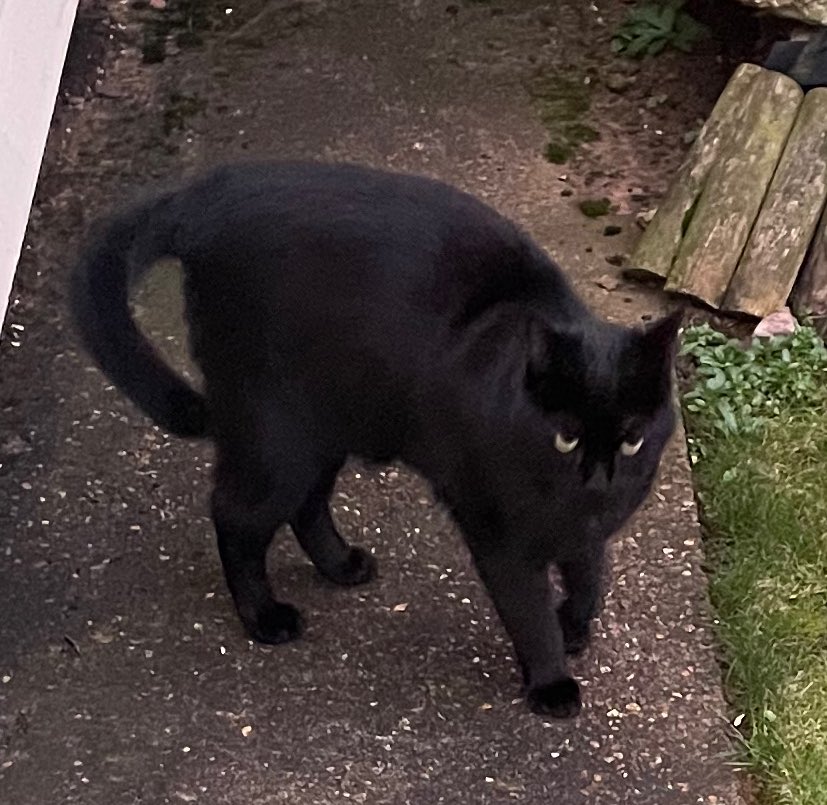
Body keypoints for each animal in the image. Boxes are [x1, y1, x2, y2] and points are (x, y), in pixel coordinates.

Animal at [71, 163, 680, 716]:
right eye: (565, 438)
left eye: (631, 441)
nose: (598, 481)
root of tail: (206, 193)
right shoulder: (497, 534)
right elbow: (528, 612)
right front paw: (551, 680)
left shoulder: (587, 529)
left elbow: (587, 572)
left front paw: (573, 624)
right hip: (276, 436)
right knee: (236, 516)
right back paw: (264, 617)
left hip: (322, 427)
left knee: (306, 505)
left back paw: (341, 566)